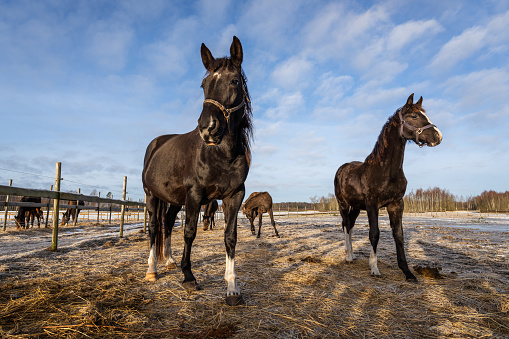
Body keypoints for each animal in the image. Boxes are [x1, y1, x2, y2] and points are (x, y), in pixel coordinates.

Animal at [142, 37, 253, 308]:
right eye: (204, 84)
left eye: (234, 81)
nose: (207, 128)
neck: (221, 154)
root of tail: (156, 143)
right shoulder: (194, 195)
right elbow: (190, 232)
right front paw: (189, 277)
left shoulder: (235, 195)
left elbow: (230, 237)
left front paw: (232, 288)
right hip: (151, 195)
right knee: (154, 227)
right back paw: (152, 270)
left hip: (173, 200)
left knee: (167, 223)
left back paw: (169, 261)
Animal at [334, 93, 440, 282]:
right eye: (414, 116)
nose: (438, 136)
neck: (385, 170)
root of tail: (341, 168)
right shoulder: (372, 205)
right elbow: (374, 233)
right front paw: (374, 267)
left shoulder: (396, 204)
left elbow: (399, 235)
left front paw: (407, 272)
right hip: (343, 204)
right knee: (345, 225)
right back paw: (347, 256)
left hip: (356, 207)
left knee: (350, 225)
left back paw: (352, 255)